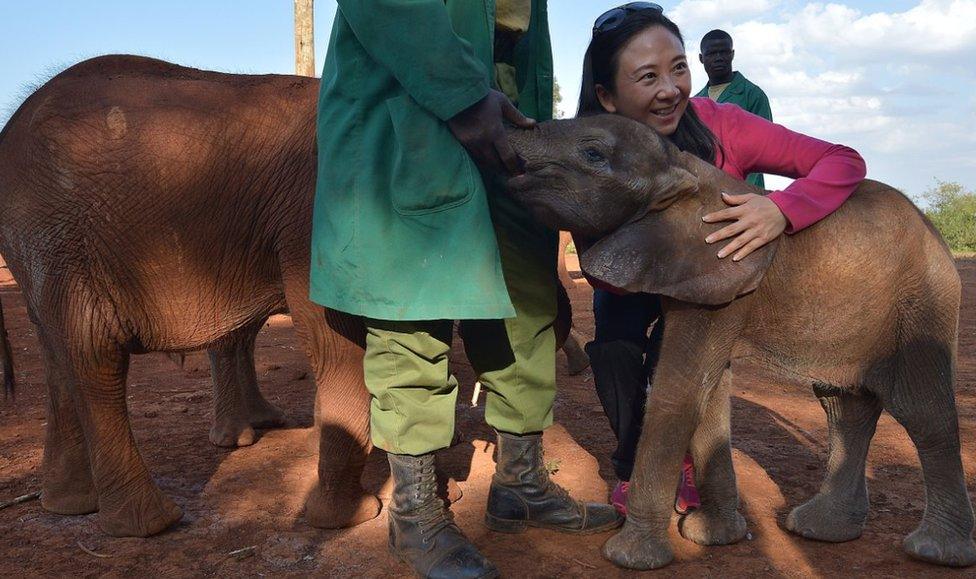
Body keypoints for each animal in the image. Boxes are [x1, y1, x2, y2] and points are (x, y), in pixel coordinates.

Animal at [504, 115, 976, 568]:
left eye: (593, 153)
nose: (514, 122)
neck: (684, 168)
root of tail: (934, 233)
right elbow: (709, 393)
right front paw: (712, 536)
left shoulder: (724, 265)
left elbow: (680, 390)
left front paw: (630, 557)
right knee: (844, 406)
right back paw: (820, 530)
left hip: (923, 299)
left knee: (922, 410)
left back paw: (934, 552)